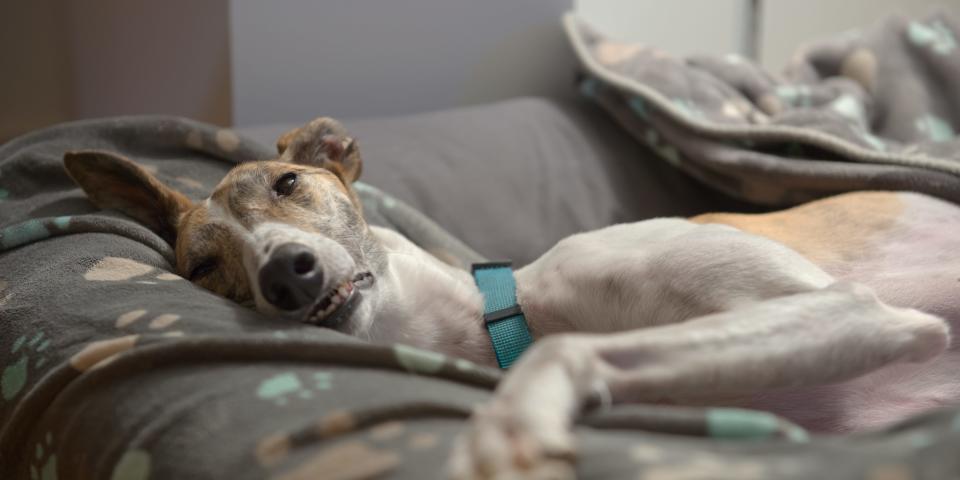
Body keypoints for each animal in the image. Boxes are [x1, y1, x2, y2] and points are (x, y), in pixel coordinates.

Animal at [63, 117, 956, 480]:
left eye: (287, 183)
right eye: (203, 264)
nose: (289, 275)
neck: (509, 310)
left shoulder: (849, 305)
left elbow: (561, 351)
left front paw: (507, 433)